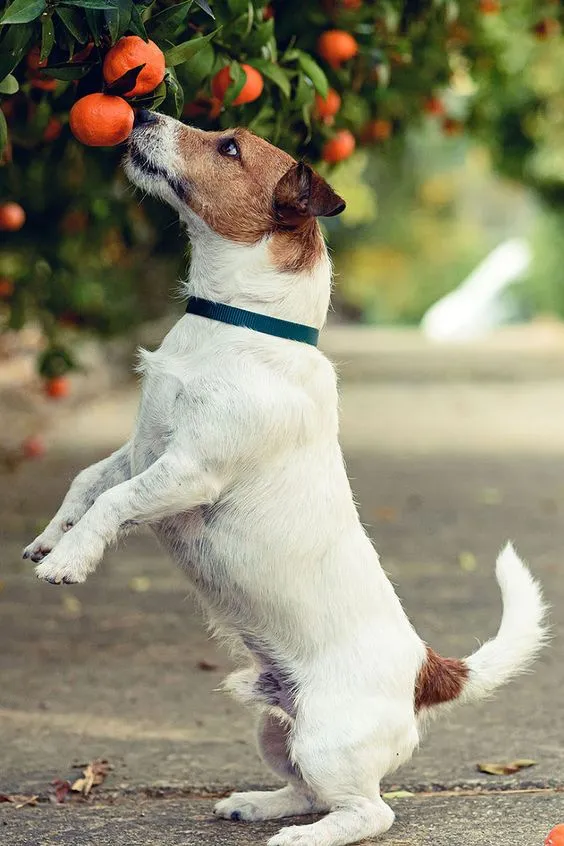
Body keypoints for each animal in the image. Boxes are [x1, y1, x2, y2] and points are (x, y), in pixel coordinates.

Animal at [24, 109, 548, 844]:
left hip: (327, 739)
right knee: (306, 790)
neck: (236, 325)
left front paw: (69, 562)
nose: (145, 112)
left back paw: (302, 837)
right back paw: (258, 804)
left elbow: (115, 503)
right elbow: (86, 483)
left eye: (229, 147)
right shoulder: (140, 448)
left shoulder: (187, 471)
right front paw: (51, 539)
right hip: (277, 730)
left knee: (368, 811)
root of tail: (425, 670)